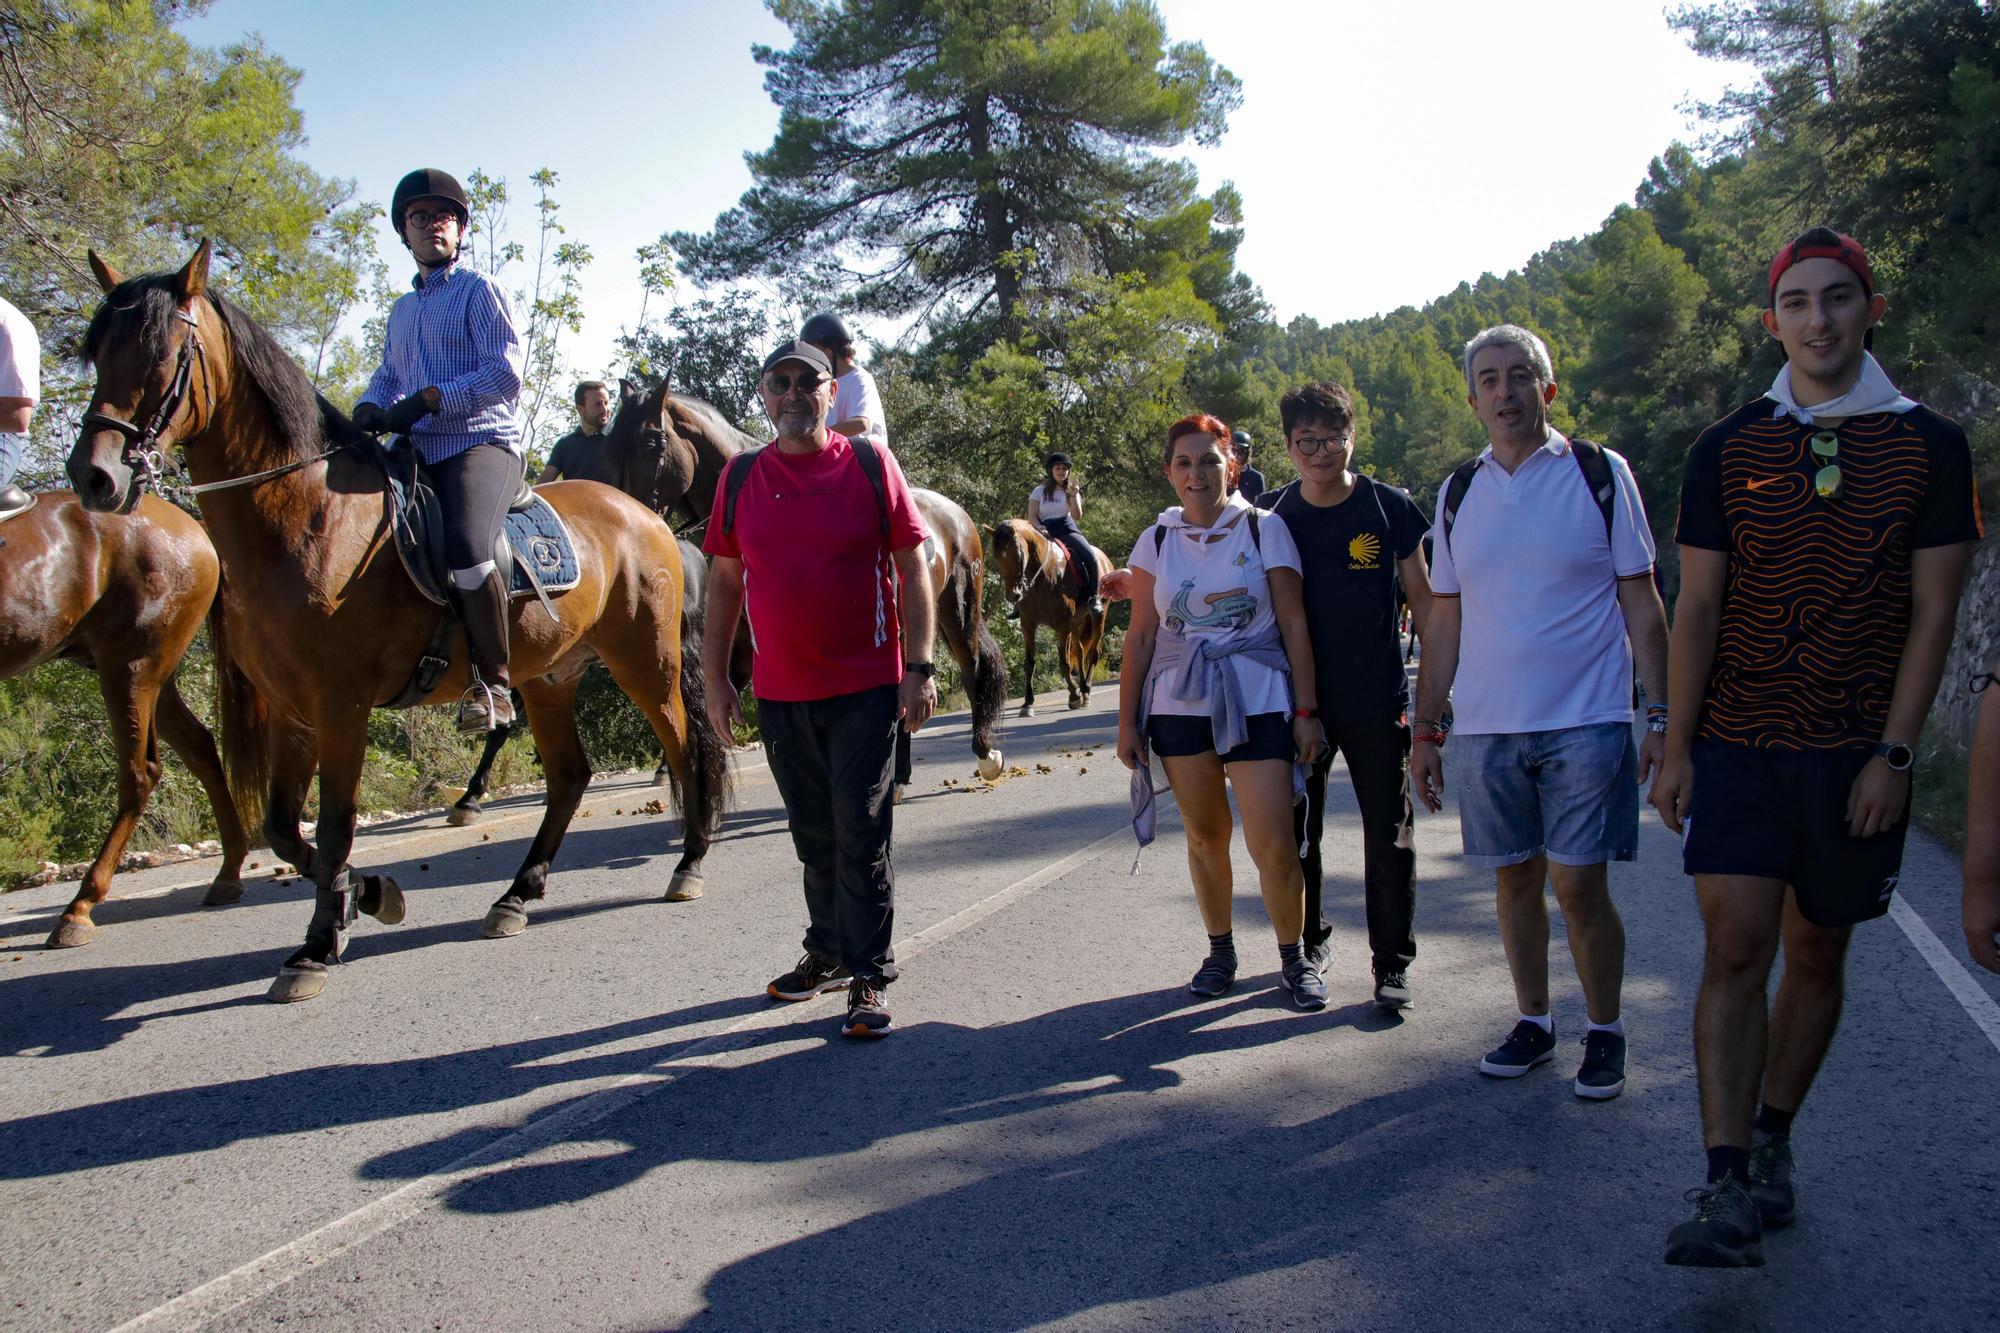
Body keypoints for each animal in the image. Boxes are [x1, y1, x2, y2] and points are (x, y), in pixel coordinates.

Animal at [0, 490, 252, 944]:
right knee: (199, 747)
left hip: (132, 662)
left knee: (141, 771)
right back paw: (227, 874)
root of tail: (194, 530)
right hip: (154, 670)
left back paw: (80, 907)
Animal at [68, 244, 736, 1000]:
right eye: (98, 353)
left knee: (686, 748)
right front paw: (367, 897)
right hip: (549, 677)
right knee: (569, 777)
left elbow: (334, 825)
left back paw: (689, 863)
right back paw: (516, 895)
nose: (93, 476)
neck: (310, 518)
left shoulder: (342, 704)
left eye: (163, 353)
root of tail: (645, 515)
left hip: (645, 662)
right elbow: (284, 828)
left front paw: (317, 945)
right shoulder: (294, 709)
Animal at [996, 512, 1120, 712]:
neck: (1043, 575)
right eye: (997, 557)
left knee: (1093, 653)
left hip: (1098, 615)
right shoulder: (1027, 624)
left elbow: (1064, 663)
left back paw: (1086, 690)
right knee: (1080, 651)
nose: (1013, 595)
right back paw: (1083, 689)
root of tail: (1105, 559)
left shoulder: (1062, 624)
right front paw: (1028, 703)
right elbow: (1029, 663)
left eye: (1018, 555)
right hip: (1077, 621)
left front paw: (1074, 696)